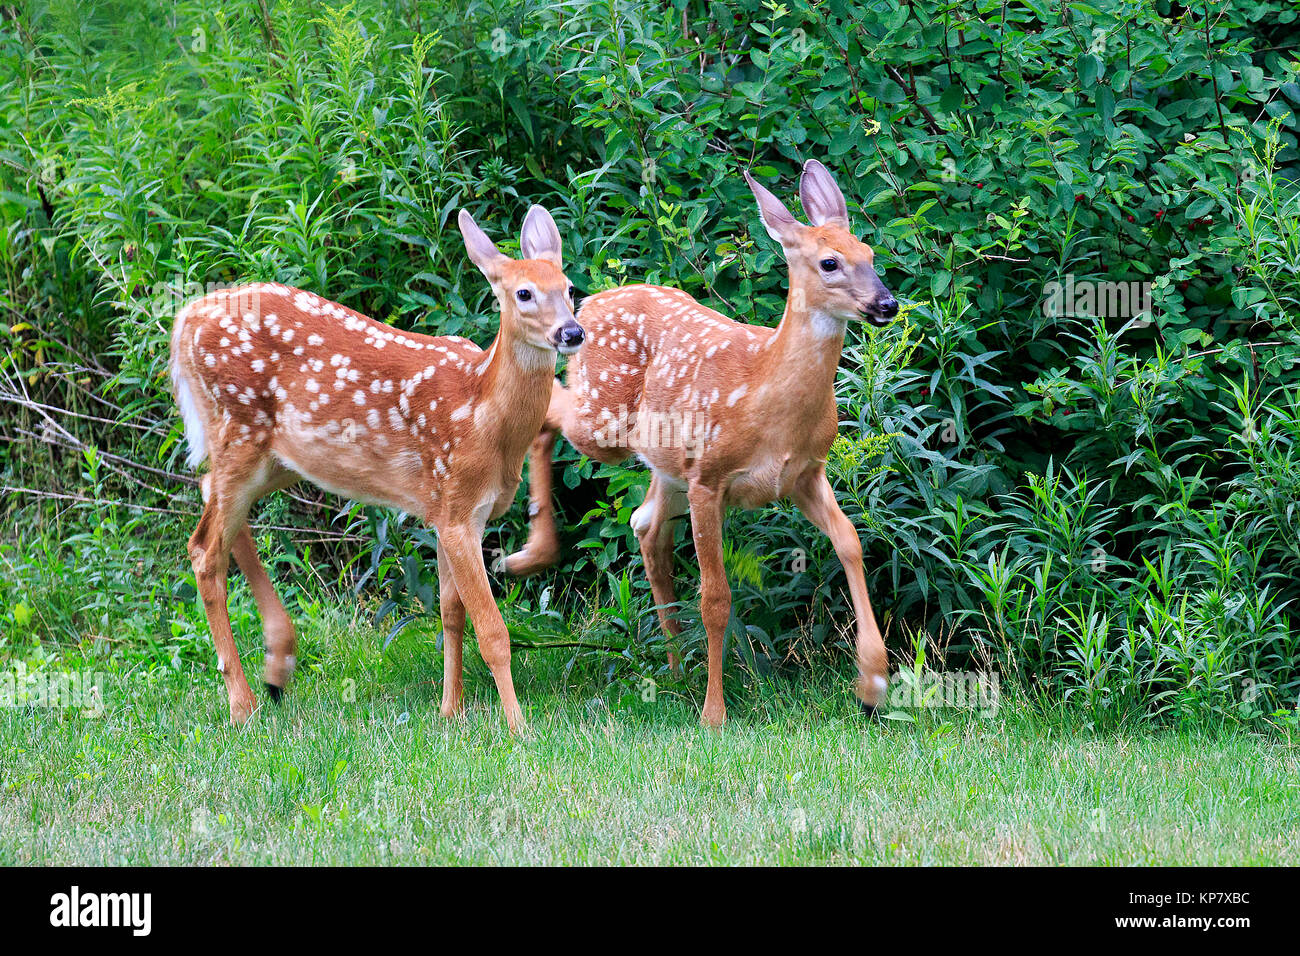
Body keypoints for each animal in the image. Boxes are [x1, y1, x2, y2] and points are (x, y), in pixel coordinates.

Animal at [169, 205, 584, 733]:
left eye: (569, 288)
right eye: (523, 293)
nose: (571, 332)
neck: (482, 414)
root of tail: (184, 320)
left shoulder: (441, 508)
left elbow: (451, 612)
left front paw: (450, 711)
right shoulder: (457, 507)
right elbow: (492, 630)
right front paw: (518, 728)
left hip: (278, 457)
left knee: (210, 499)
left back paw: (277, 667)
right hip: (239, 429)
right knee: (204, 548)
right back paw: (243, 706)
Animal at [504, 160, 899, 726]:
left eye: (869, 253)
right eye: (830, 262)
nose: (886, 303)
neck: (766, 394)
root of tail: (588, 301)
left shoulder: (804, 473)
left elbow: (851, 542)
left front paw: (872, 681)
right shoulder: (709, 477)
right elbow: (715, 598)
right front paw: (715, 713)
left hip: (665, 462)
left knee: (643, 524)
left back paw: (673, 666)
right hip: (603, 419)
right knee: (549, 416)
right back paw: (530, 556)